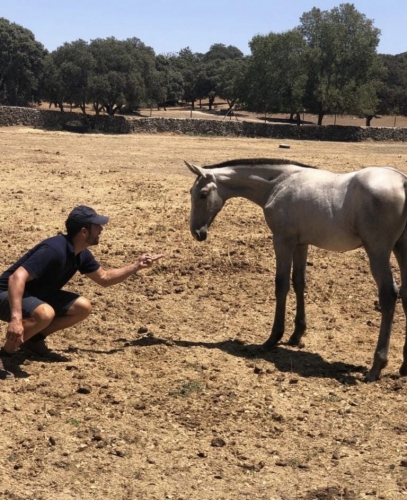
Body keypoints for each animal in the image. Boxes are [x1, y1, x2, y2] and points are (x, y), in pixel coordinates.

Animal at [186, 158, 407, 380]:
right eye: (191, 192)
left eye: (202, 194)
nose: (197, 233)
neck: (278, 183)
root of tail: (402, 180)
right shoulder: (301, 244)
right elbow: (299, 282)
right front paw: (296, 334)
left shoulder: (282, 240)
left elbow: (281, 285)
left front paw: (273, 338)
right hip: (400, 248)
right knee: (405, 293)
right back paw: (403, 365)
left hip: (378, 251)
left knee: (389, 295)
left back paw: (376, 366)